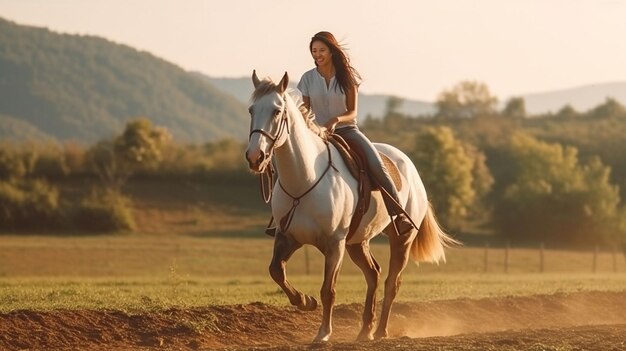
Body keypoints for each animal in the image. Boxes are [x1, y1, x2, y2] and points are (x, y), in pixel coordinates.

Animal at [243, 71, 454, 344]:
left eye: (277, 111)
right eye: (251, 110)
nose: (255, 156)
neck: (305, 179)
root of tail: (409, 166)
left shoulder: (335, 244)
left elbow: (328, 290)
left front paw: (323, 333)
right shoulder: (287, 237)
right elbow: (276, 271)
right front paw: (305, 301)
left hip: (401, 239)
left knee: (391, 283)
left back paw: (381, 331)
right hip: (358, 242)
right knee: (374, 274)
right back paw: (365, 330)